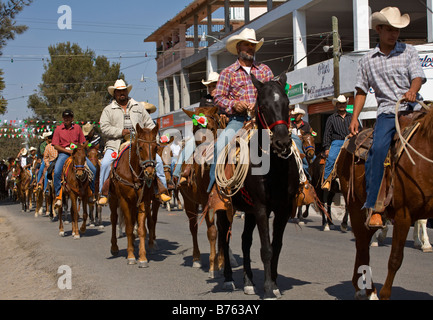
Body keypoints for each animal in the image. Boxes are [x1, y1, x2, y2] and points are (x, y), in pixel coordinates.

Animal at [109, 124, 159, 266]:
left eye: (156, 147)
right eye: (140, 147)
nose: (149, 172)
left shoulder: (143, 200)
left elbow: (141, 229)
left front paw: (142, 258)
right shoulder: (124, 200)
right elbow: (129, 228)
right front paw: (131, 256)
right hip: (113, 199)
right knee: (114, 219)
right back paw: (114, 247)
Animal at [213, 73, 300, 300]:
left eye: (287, 103)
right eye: (263, 105)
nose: (282, 142)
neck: (275, 168)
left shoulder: (283, 209)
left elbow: (275, 246)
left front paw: (275, 284)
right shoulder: (261, 208)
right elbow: (266, 249)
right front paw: (268, 288)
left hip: (249, 211)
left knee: (245, 241)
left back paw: (248, 282)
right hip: (225, 209)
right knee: (224, 239)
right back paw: (228, 279)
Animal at [336, 106, 432, 298]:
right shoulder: (404, 215)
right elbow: (395, 259)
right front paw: (385, 294)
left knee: (364, 241)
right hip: (356, 206)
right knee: (362, 245)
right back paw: (370, 291)